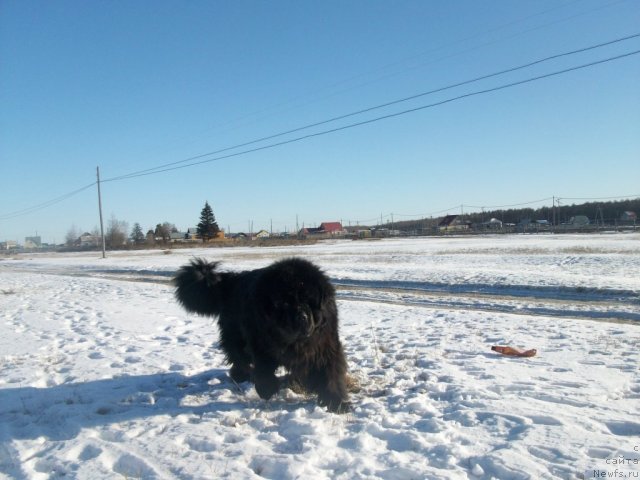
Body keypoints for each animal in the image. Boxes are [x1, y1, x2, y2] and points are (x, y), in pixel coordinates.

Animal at [174, 258, 350, 412]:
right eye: (285, 303)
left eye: (309, 300)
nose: (301, 317)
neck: (293, 342)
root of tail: (232, 281)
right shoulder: (260, 344)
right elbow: (264, 368)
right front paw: (267, 389)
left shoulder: (325, 346)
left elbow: (330, 374)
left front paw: (336, 402)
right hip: (236, 337)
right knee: (239, 358)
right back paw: (241, 375)